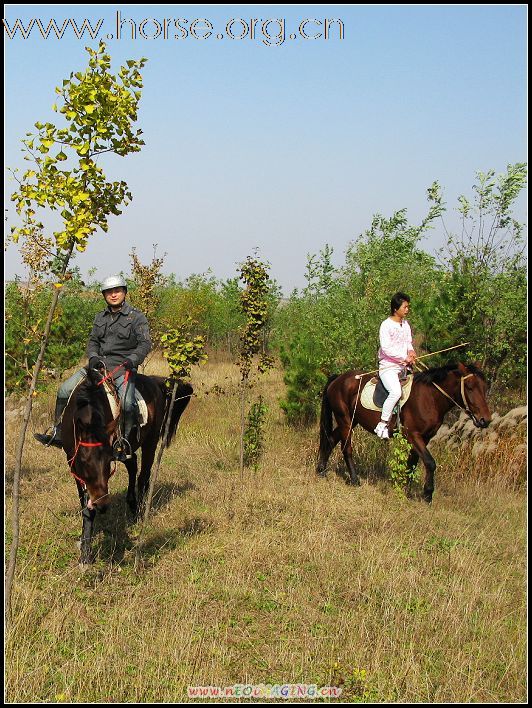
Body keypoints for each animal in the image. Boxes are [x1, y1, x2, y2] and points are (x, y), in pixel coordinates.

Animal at [62, 370, 192, 564]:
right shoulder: (74, 467)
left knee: (143, 476)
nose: (102, 505)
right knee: (133, 464)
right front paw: (85, 551)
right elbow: (85, 507)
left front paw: (86, 554)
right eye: (84, 462)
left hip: (151, 441)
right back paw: (131, 503)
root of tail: (155, 381)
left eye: (108, 463)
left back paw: (140, 512)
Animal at [318, 362, 492, 500]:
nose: (486, 420)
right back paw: (354, 480)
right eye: (470, 387)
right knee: (346, 448)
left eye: (484, 388)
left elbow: (413, 463)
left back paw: (321, 470)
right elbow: (430, 462)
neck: (430, 398)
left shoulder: (425, 437)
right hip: (345, 420)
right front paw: (427, 494)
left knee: (331, 440)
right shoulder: (413, 435)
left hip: (352, 421)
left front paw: (405, 490)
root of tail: (338, 378)